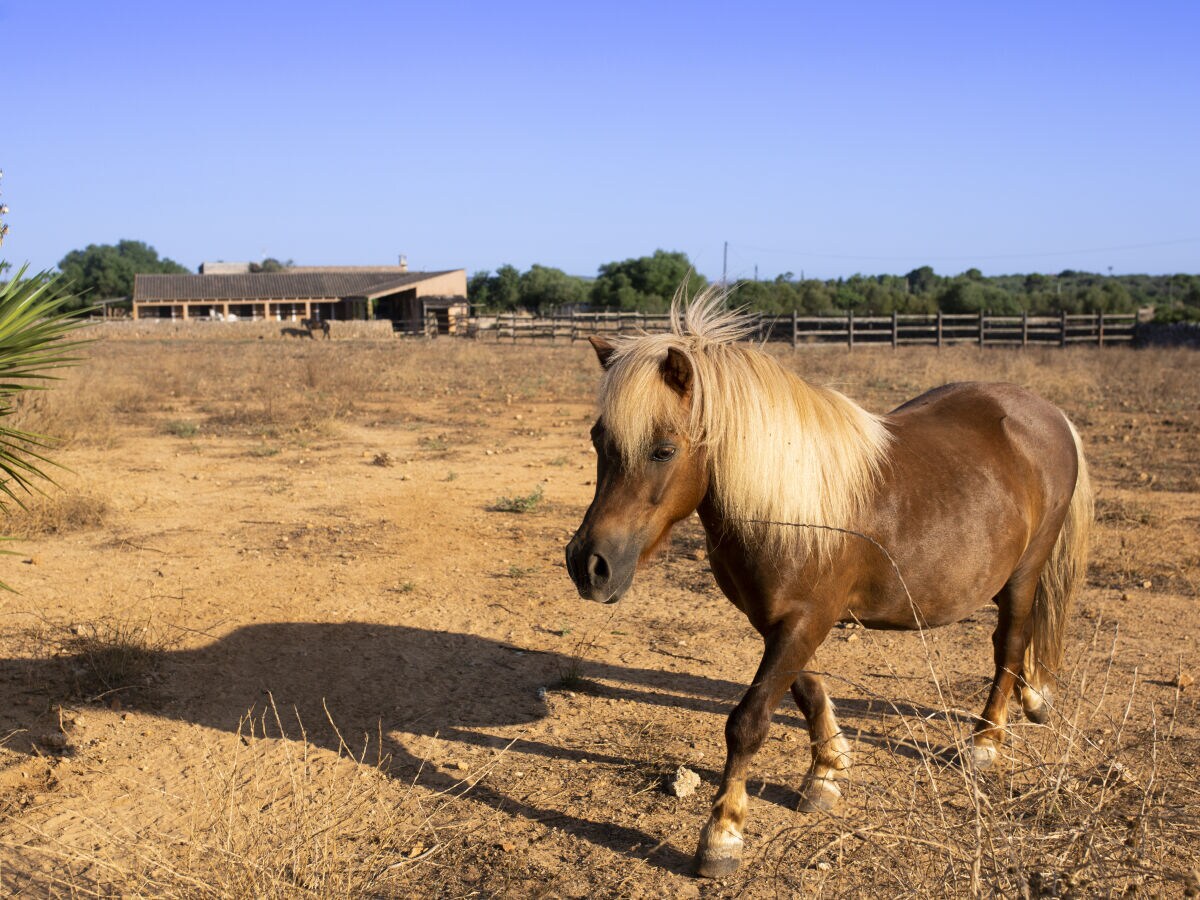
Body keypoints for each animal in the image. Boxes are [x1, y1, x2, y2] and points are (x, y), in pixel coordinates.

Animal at [566, 289, 1094, 883]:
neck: (792, 507)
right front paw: (827, 772)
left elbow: (748, 721)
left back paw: (985, 743)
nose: (588, 565)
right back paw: (1032, 701)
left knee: (1009, 644)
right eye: (597, 439)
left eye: (662, 449)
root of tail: (1048, 414)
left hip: (1025, 572)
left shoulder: (805, 619)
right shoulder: (781, 620)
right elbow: (807, 690)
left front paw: (722, 835)